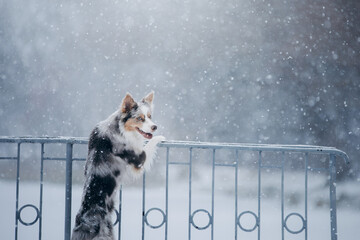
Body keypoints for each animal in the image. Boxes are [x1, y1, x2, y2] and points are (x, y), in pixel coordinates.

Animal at [71, 91, 166, 239]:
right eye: (140, 118)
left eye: (150, 116)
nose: (154, 127)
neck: (119, 128)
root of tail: (86, 222)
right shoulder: (138, 158)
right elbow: (150, 143)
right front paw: (160, 137)